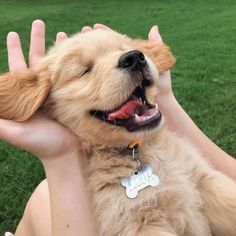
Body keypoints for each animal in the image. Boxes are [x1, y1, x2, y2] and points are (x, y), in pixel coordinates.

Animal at [0, 30, 236, 236]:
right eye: (84, 70)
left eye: (123, 48)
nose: (134, 57)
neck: (138, 150)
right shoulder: (137, 222)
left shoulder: (203, 178)